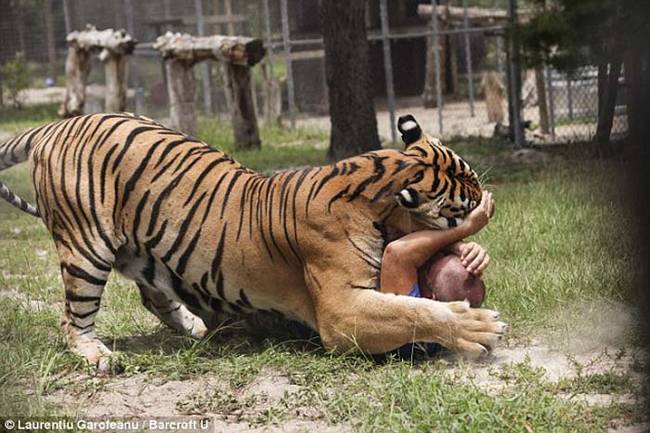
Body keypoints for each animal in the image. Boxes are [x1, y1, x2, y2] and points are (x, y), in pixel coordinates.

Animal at [0, 112, 504, 372]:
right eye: (461, 207)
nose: (488, 201)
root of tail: (56, 124)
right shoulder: (341, 312)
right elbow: (414, 310)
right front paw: (478, 326)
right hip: (85, 248)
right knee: (72, 318)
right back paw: (97, 354)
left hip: (147, 250)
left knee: (154, 296)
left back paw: (196, 328)